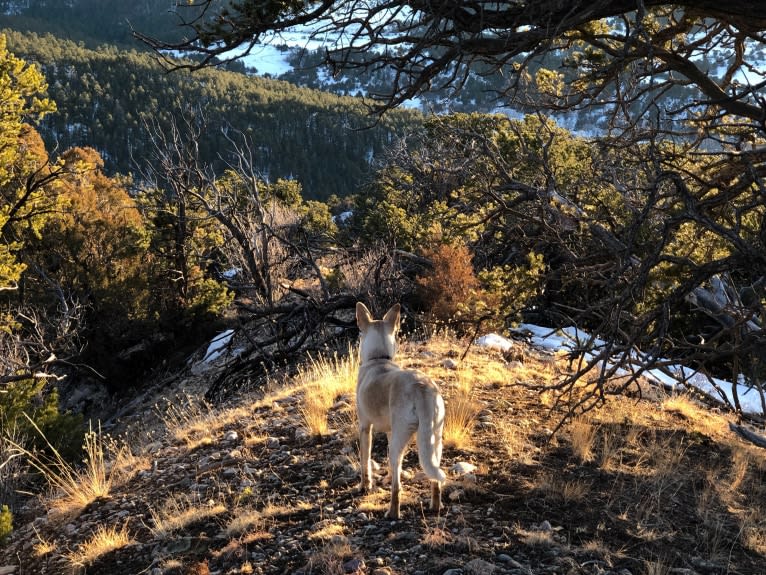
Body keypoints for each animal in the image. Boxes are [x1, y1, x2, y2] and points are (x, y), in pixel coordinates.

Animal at [356, 304, 448, 520]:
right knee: (435, 479)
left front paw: (365, 486)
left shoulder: (365, 428)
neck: (378, 359)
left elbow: (365, 462)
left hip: (399, 442)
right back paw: (435, 506)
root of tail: (421, 387)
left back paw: (392, 512)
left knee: (397, 486)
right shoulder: (390, 431)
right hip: (434, 440)